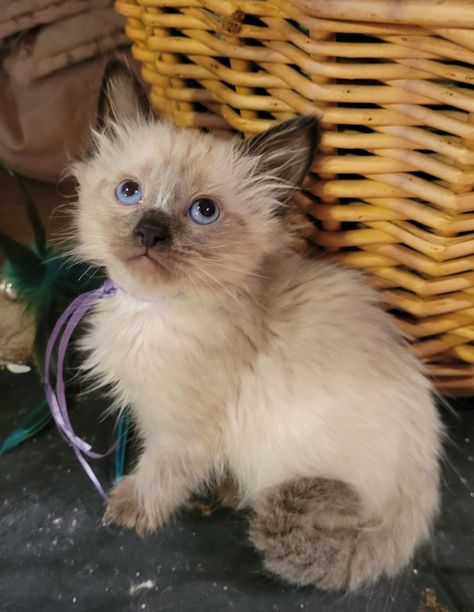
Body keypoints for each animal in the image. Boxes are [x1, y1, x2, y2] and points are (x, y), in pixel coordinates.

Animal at [72, 61, 442, 588]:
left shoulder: (184, 432)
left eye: (204, 212)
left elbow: (160, 474)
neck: (152, 310)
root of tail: (425, 484)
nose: (149, 232)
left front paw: (128, 509)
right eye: (130, 192)